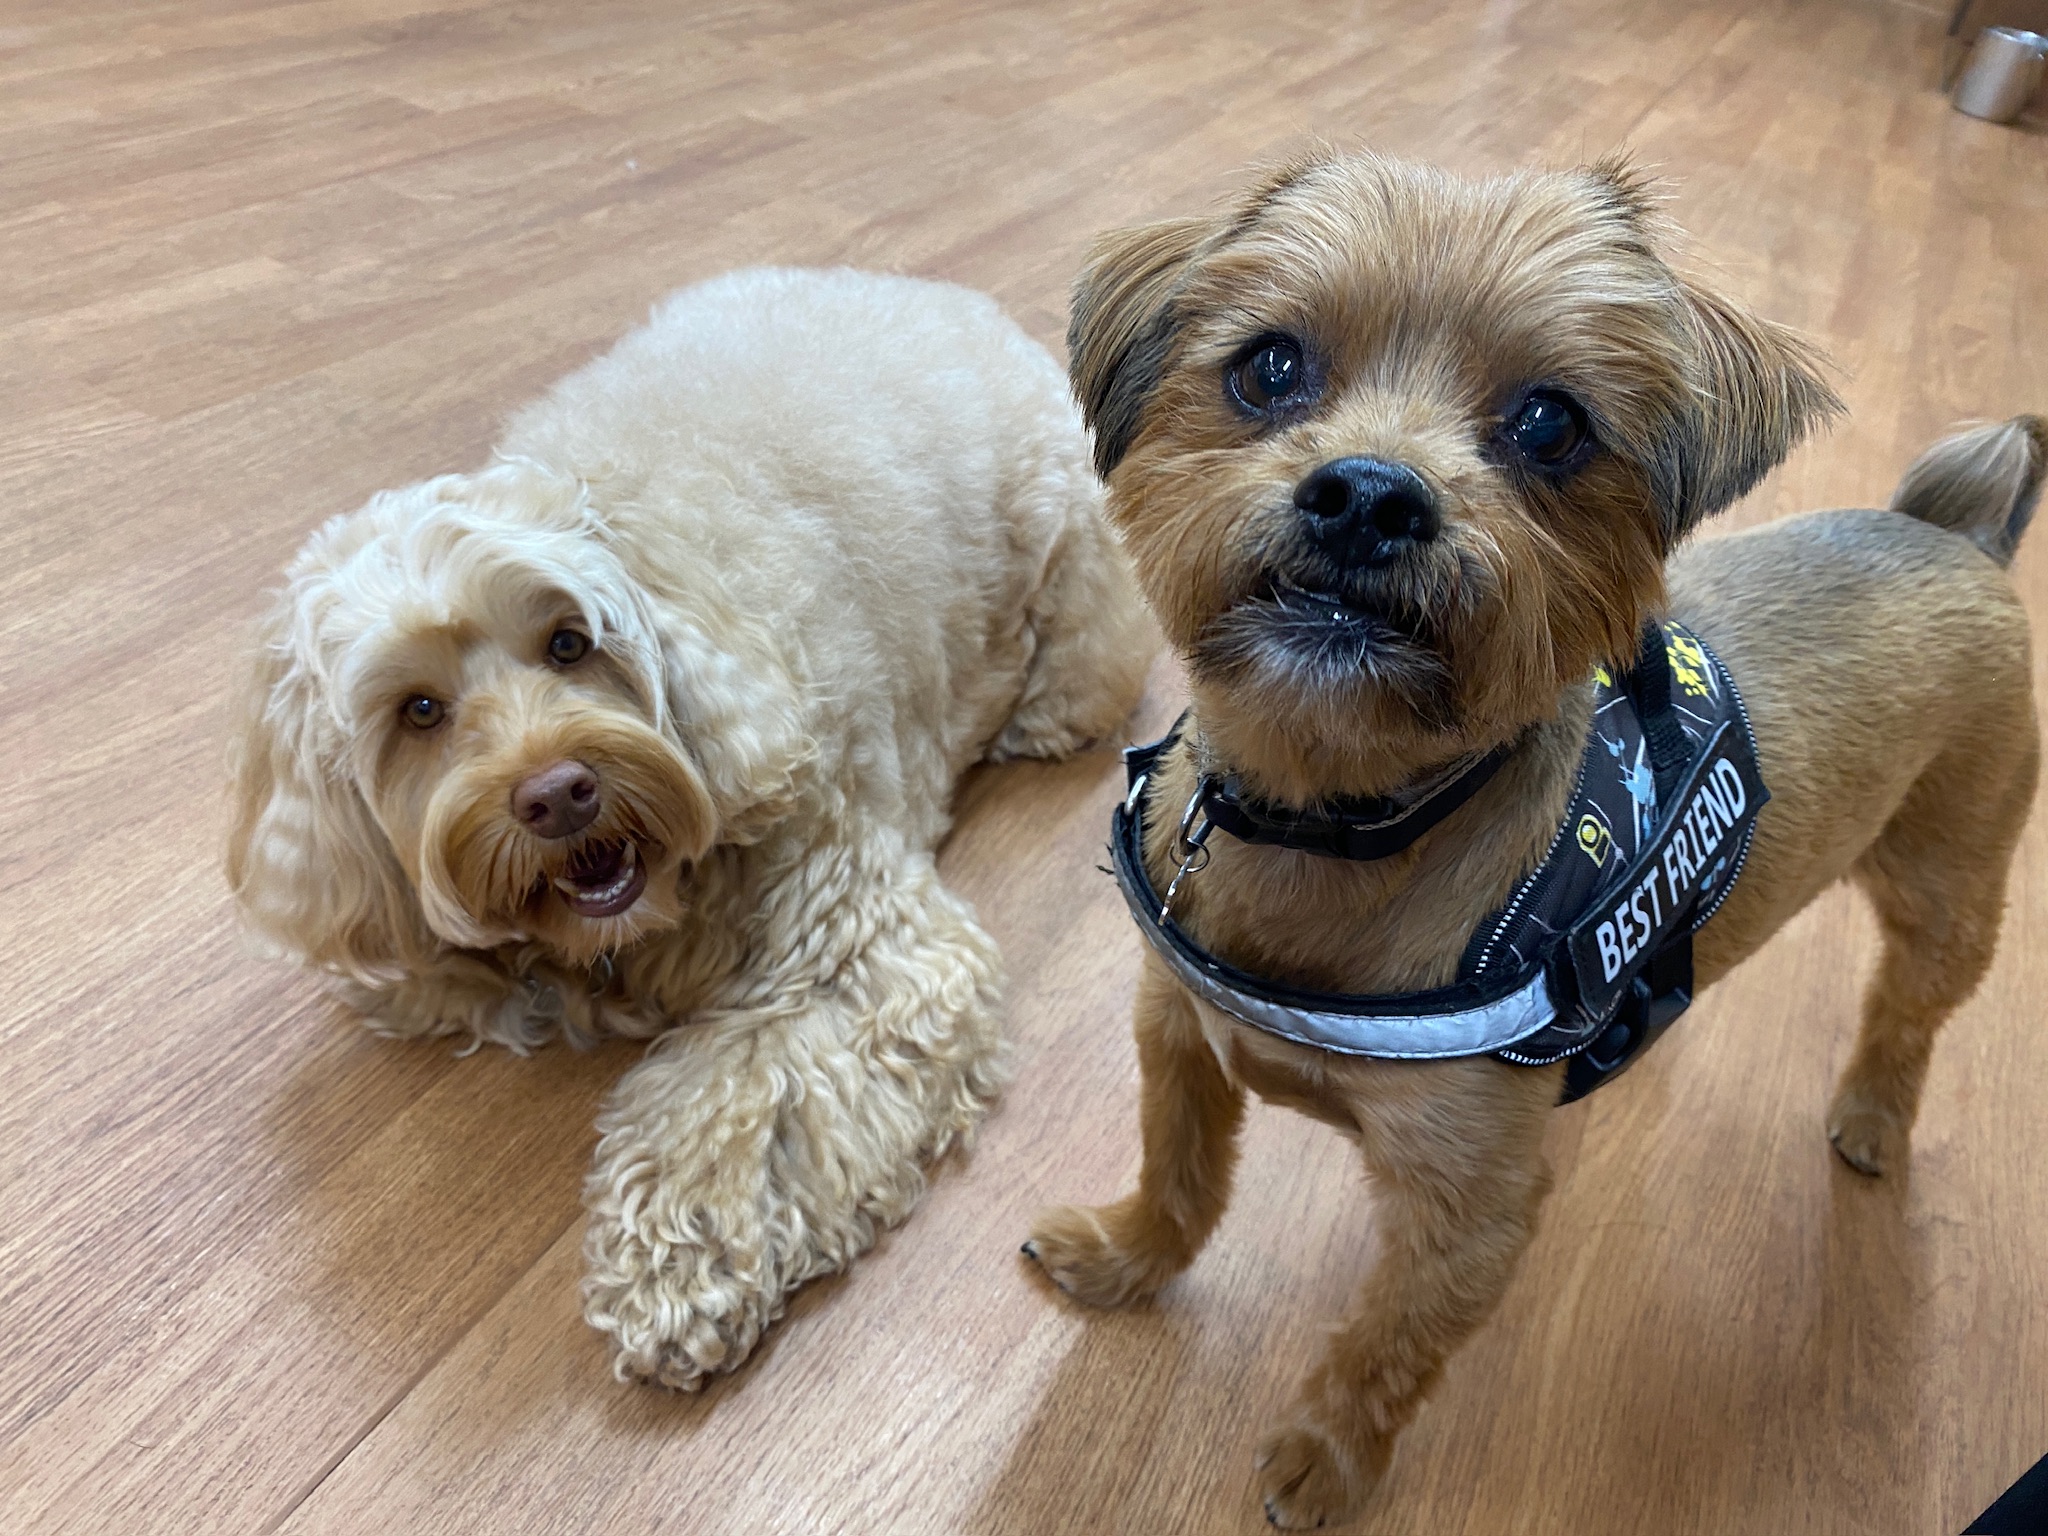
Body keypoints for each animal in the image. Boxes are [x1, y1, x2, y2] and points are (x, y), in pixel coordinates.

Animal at [227, 265, 1155, 1389]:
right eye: (418, 710)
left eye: (569, 642)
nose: (558, 793)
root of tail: (937, 294)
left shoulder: (862, 951)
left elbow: (740, 1090)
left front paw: (675, 1266)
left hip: (1077, 605)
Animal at [1023, 150, 2043, 1526]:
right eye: (1268, 367)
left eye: (1551, 424)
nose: (1367, 495)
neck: (1334, 820)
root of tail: (1952, 534)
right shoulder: (1178, 1040)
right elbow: (1178, 1180)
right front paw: (1126, 1259)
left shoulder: (1465, 1212)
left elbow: (1384, 1346)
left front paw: (1325, 1461)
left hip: (1949, 880)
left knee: (1907, 1009)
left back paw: (1875, 1116)